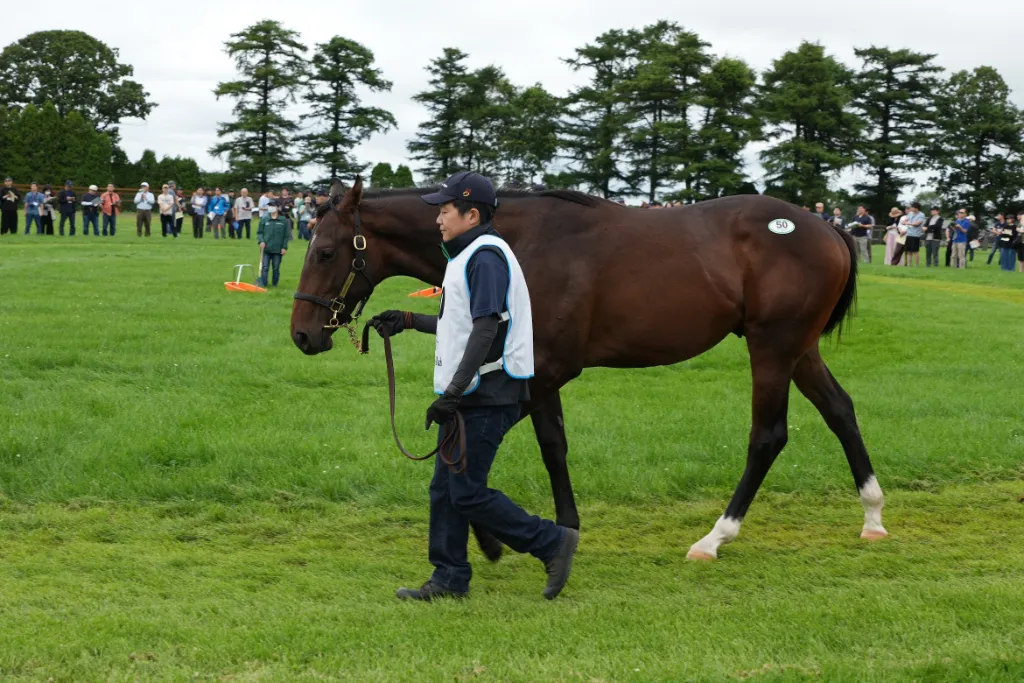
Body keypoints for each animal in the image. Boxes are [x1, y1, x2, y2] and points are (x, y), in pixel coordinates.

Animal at [290, 178, 887, 563]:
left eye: (325, 251)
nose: (302, 334)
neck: (516, 243)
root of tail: (827, 229)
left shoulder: (542, 370)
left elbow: (522, 444)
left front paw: (520, 533)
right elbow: (506, 442)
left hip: (772, 348)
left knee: (768, 436)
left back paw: (715, 537)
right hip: (799, 349)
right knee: (840, 410)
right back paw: (873, 516)